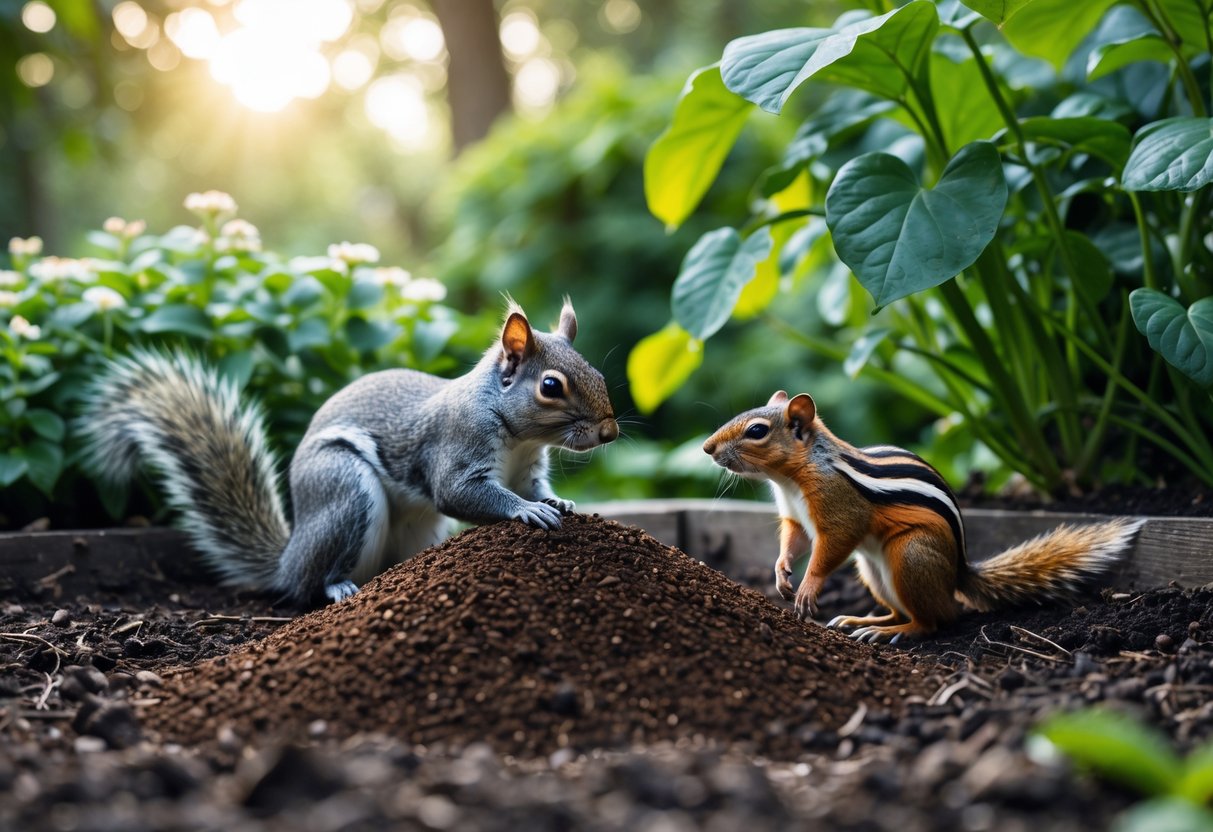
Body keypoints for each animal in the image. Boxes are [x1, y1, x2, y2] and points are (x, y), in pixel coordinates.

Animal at [79, 299, 619, 606]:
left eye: (597, 371)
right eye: (550, 386)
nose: (610, 431)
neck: (519, 437)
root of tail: (288, 559)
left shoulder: (527, 468)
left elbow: (535, 487)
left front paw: (557, 502)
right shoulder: (458, 446)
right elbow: (461, 493)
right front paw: (526, 512)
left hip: (417, 532)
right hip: (344, 493)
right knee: (313, 581)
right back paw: (336, 587)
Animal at [703, 390, 1144, 643]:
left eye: (757, 430)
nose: (707, 448)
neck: (791, 478)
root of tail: (957, 573)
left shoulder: (840, 510)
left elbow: (830, 547)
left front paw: (808, 588)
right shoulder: (795, 516)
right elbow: (792, 540)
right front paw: (781, 573)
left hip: (910, 555)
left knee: (932, 621)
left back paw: (893, 632)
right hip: (873, 571)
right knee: (904, 609)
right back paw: (862, 620)